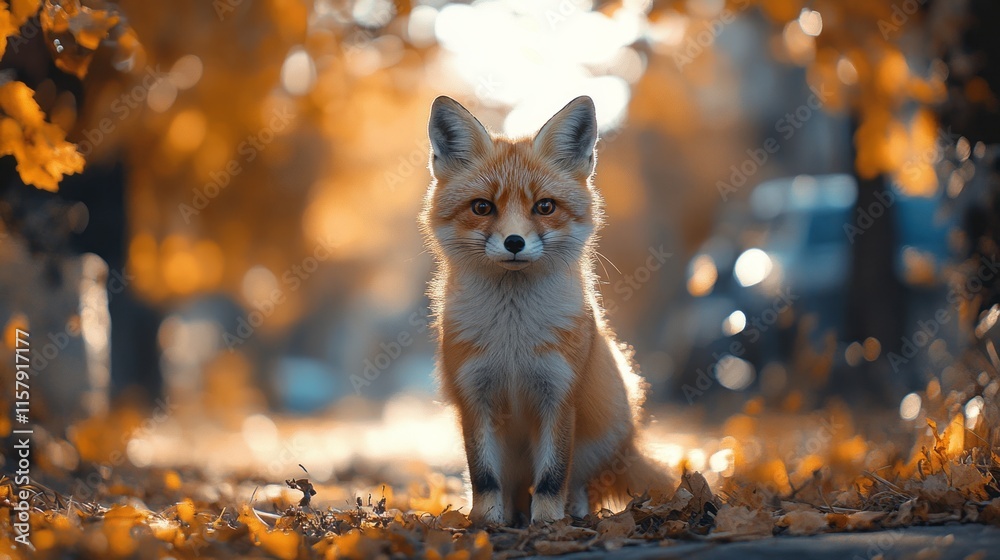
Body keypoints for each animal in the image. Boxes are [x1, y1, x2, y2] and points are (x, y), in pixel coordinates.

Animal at [419, 95, 673, 525]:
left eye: (544, 206)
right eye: (482, 207)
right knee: (513, 487)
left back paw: (573, 513)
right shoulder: (475, 396)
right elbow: (484, 477)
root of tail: (630, 443)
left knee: (580, 484)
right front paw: (487, 523)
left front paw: (549, 523)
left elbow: (553, 476)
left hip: (601, 434)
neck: (512, 339)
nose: (515, 242)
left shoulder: (559, 394)